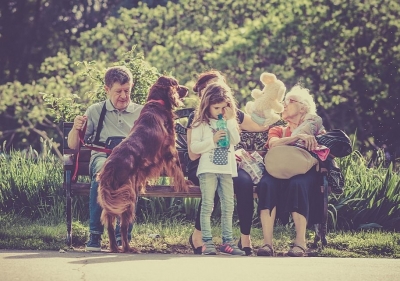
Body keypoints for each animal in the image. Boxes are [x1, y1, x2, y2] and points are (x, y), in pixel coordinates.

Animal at [97, 75, 190, 252]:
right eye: (176, 84)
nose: (188, 88)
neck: (157, 103)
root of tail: (110, 168)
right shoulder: (170, 149)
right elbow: (178, 169)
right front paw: (185, 184)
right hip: (128, 197)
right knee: (123, 226)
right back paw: (128, 248)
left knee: (110, 224)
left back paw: (114, 247)